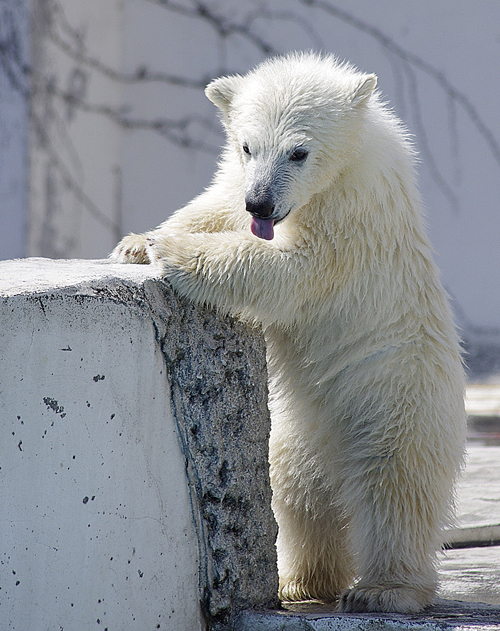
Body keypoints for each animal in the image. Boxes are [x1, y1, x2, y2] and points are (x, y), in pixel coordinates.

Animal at [111, 51, 466, 616]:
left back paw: (384, 589)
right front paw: (138, 242)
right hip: (298, 422)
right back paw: (300, 581)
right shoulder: (241, 182)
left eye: (298, 152)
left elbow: (291, 269)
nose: (261, 204)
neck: (345, 167)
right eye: (247, 146)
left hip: (395, 398)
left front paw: (175, 252)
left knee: (395, 487)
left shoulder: (348, 218)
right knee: (296, 492)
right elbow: (217, 203)